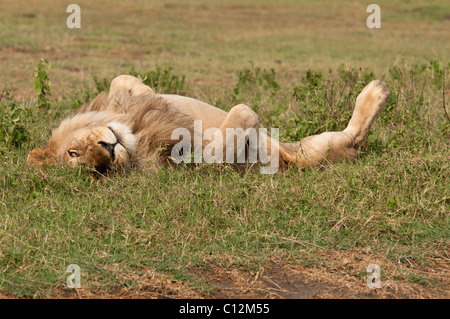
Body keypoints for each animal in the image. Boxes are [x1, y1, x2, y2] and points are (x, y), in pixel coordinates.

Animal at [27, 74, 390, 175]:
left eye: (73, 153)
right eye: (98, 171)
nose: (107, 151)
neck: (135, 134)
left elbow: (123, 81)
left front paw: (148, 90)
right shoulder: (201, 162)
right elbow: (238, 118)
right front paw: (247, 120)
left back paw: (376, 91)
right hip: (312, 152)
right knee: (350, 140)